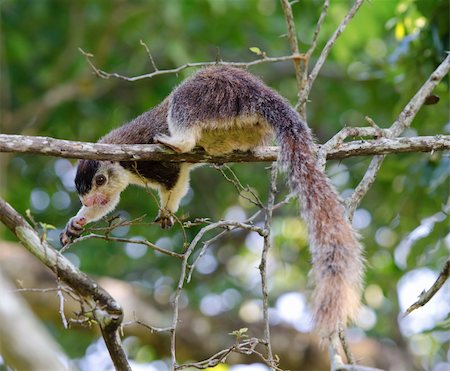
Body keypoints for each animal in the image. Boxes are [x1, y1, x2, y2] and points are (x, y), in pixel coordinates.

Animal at [59, 65, 364, 338]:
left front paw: (166, 210)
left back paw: (177, 142)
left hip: (207, 96)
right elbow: (112, 201)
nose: (90, 198)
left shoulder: (148, 162)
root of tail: (259, 93)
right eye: (85, 194)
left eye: (100, 180)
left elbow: (174, 182)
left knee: (183, 108)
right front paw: (77, 221)